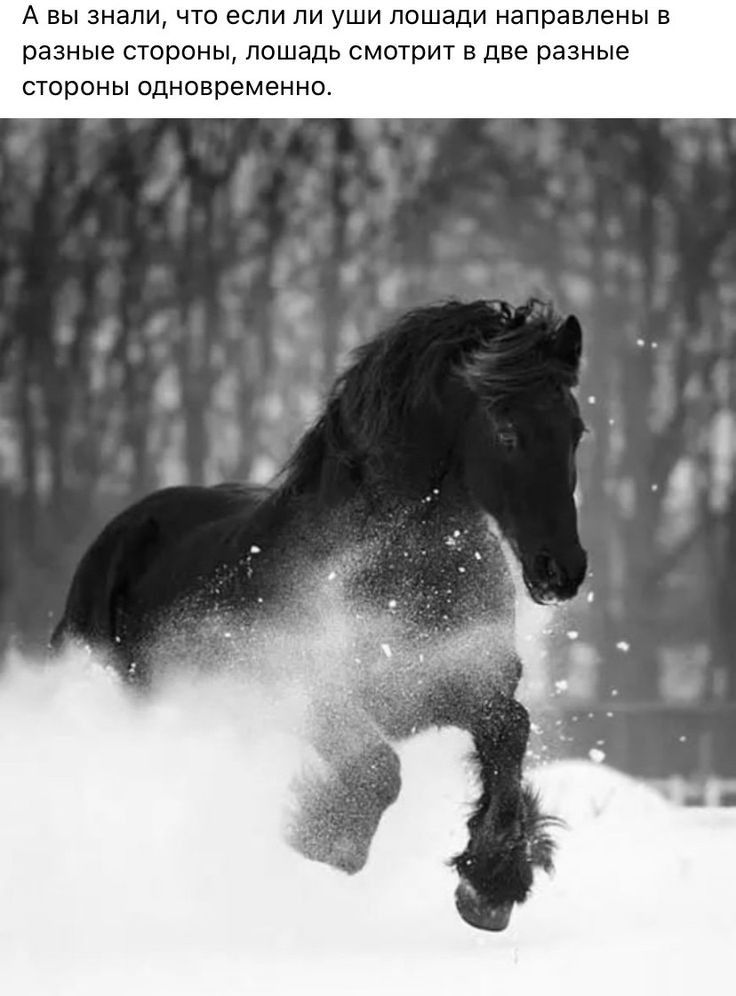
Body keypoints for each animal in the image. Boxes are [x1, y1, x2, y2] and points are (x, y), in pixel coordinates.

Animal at [51, 298, 588, 932]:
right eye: (507, 432)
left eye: (576, 430)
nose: (562, 570)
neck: (399, 565)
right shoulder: (308, 693)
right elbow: (379, 771)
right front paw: (323, 838)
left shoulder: (459, 684)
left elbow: (510, 732)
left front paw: (492, 884)